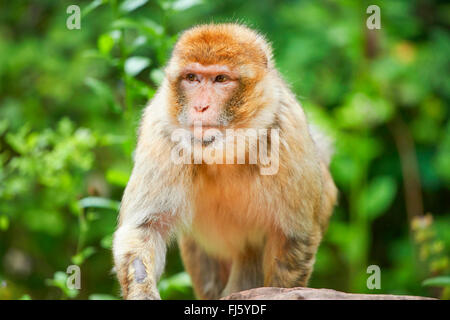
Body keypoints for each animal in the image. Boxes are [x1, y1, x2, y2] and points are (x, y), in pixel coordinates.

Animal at [112, 23, 338, 300]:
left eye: (221, 79)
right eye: (192, 78)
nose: (200, 106)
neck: (224, 151)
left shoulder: (287, 130)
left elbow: (293, 238)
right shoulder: (162, 131)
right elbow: (144, 230)